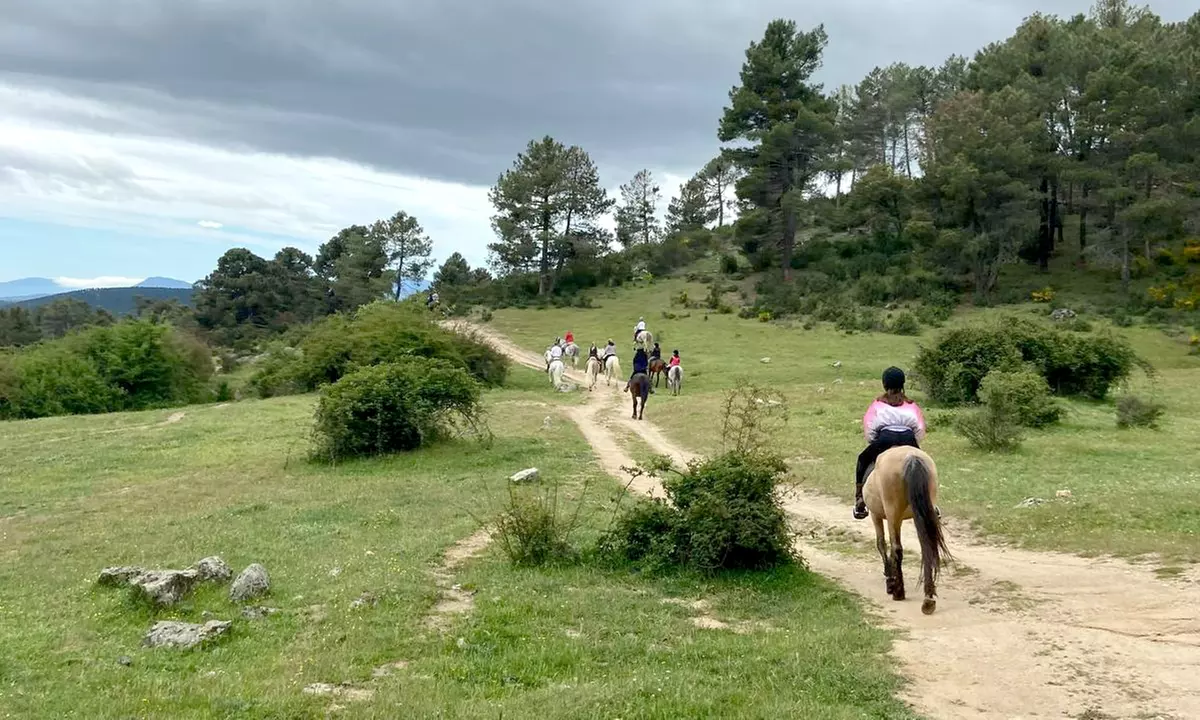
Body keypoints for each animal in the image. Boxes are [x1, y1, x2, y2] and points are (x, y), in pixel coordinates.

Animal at [862, 446, 951, 615]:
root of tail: (912, 458)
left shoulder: (875, 515)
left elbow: (882, 544)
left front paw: (890, 581)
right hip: (921, 511)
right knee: (927, 546)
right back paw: (928, 599)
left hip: (893, 513)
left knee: (897, 548)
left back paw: (899, 592)